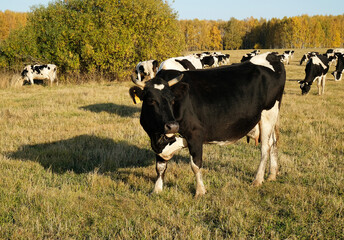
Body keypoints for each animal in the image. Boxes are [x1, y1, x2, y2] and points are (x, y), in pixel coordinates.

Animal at [129, 52, 284, 197]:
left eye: (172, 99)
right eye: (150, 100)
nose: (172, 126)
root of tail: (271, 55)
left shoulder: (195, 134)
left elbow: (195, 165)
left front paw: (200, 191)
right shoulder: (157, 139)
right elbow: (160, 166)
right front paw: (156, 190)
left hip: (268, 113)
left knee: (265, 147)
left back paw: (258, 179)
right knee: (274, 141)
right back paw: (272, 174)